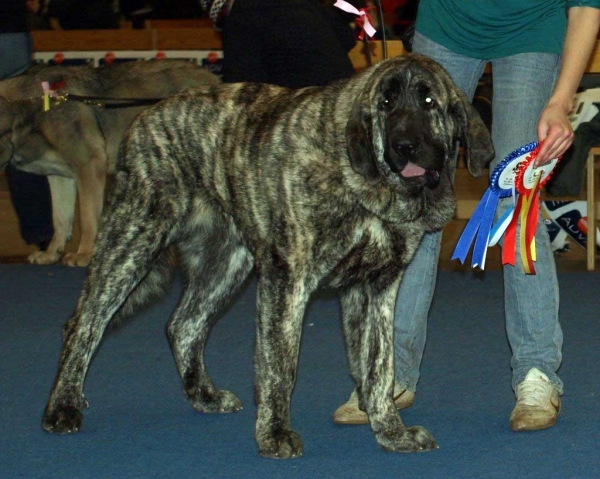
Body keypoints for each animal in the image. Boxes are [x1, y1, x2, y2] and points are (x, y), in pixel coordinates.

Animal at [41, 54, 492, 460]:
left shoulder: (376, 288)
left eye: (429, 101)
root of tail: (145, 117)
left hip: (227, 263)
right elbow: (281, 365)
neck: (360, 179)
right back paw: (62, 406)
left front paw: (390, 432)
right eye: (385, 103)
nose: (404, 146)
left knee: (183, 325)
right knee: (83, 325)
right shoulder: (287, 281)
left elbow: (379, 366)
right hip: (132, 243)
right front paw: (274, 434)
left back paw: (203, 395)